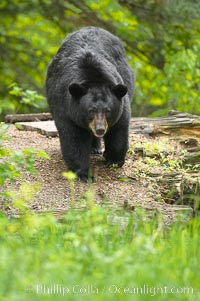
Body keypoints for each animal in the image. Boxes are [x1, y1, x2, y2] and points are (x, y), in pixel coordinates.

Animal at [45, 26, 134, 180]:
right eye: (91, 110)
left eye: (108, 110)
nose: (100, 129)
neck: (94, 78)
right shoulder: (66, 106)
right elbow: (74, 137)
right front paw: (84, 173)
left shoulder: (121, 103)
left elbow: (119, 128)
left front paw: (114, 159)